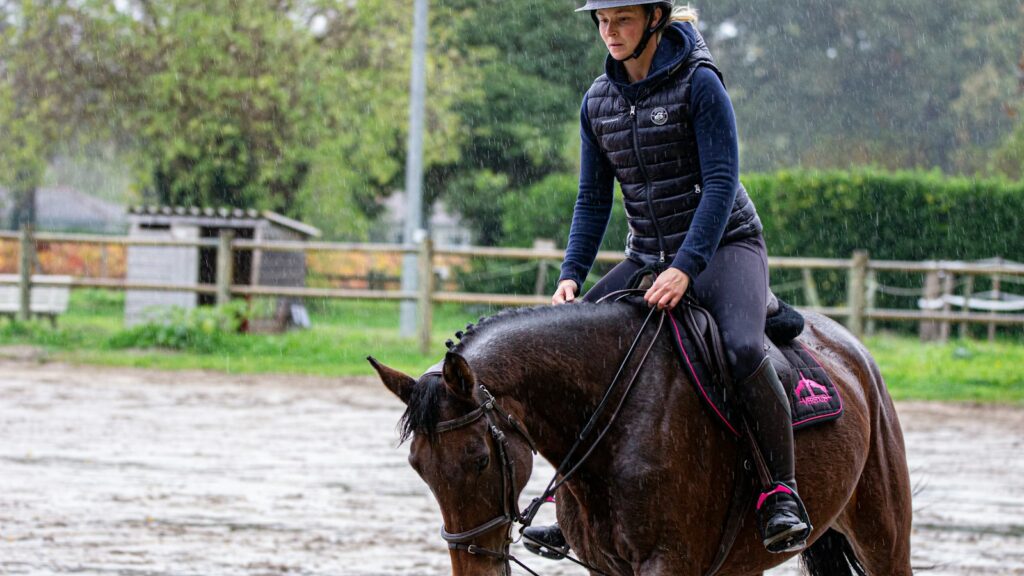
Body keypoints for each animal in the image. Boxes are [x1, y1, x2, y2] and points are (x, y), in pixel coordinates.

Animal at [370, 300, 912, 575]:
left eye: (480, 459)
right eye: (419, 468)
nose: (474, 571)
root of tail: (850, 349)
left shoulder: (667, 564)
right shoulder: (606, 569)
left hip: (883, 536)